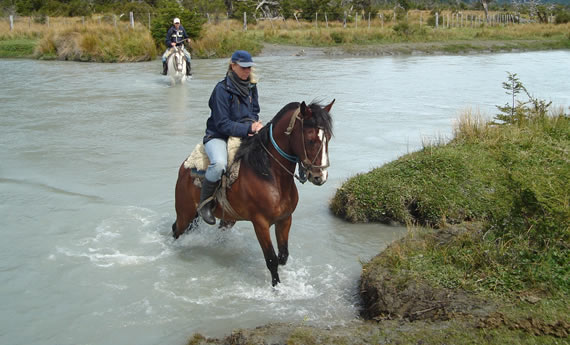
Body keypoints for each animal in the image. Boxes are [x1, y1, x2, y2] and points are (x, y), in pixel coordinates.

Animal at [172, 99, 332, 284]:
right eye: (311, 139)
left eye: (328, 138)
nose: (320, 176)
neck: (269, 174)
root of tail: (184, 167)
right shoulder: (260, 223)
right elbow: (271, 260)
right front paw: (276, 287)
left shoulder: (285, 219)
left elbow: (283, 256)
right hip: (185, 213)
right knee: (176, 230)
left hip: (227, 218)